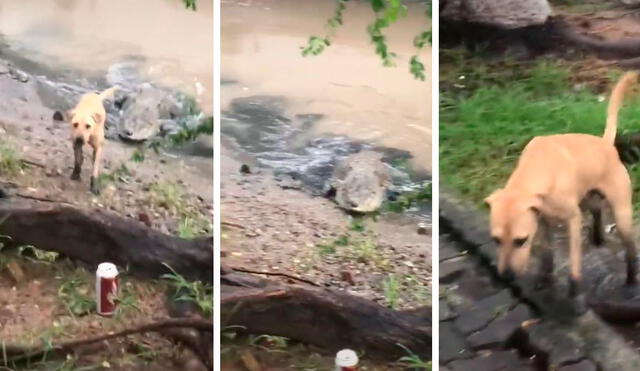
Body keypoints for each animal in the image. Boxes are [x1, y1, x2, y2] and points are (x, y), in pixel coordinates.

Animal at [488, 71, 636, 306]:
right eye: (496, 240)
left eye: (521, 241)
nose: (506, 277)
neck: (540, 165)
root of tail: (606, 144)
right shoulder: (542, 220)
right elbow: (547, 254)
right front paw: (545, 277)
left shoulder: (572, 220)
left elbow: (574, 262)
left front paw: (574, 291)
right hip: (587, 197)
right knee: (596, 210)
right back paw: (597, 237)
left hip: (621, 215)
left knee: (631, 248)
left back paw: (630, 282)